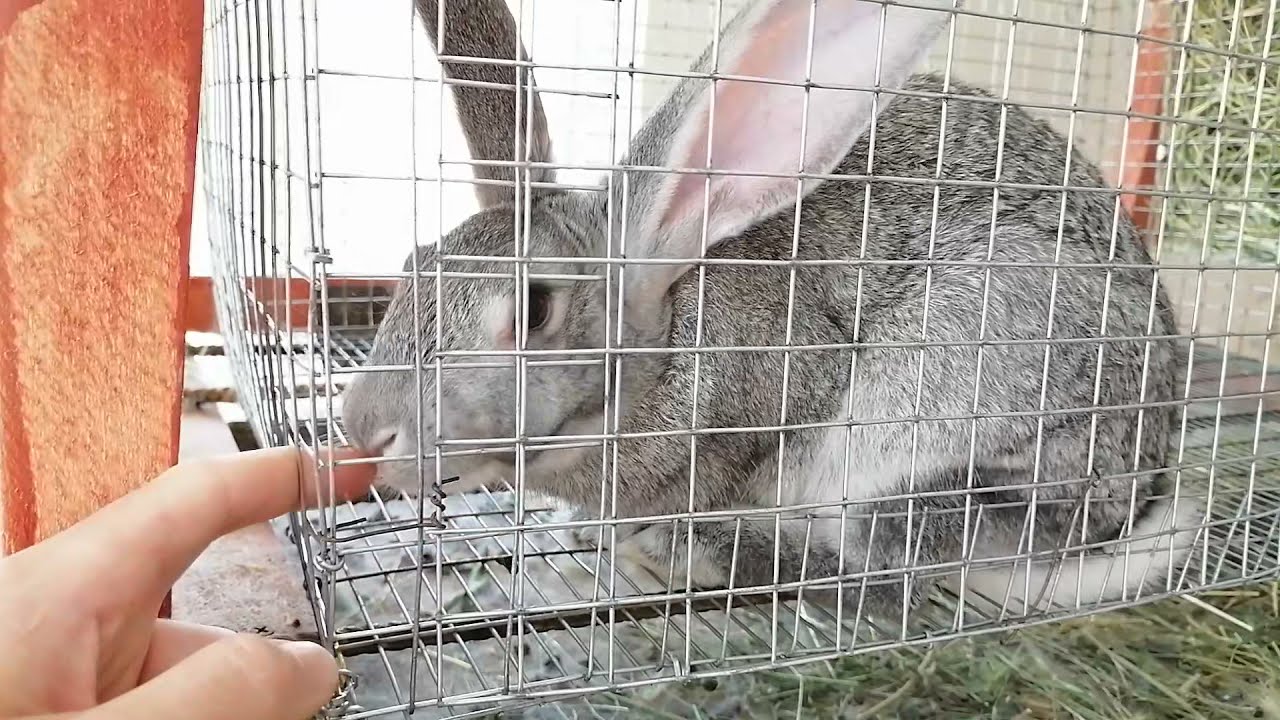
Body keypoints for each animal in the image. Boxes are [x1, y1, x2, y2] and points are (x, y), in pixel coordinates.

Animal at [341, 0, 1204, 621]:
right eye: (411, 269)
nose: (364, 432)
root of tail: (1129, 491)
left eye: (534, 309)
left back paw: (693, 550)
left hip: (947, 391)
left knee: (890, 572)